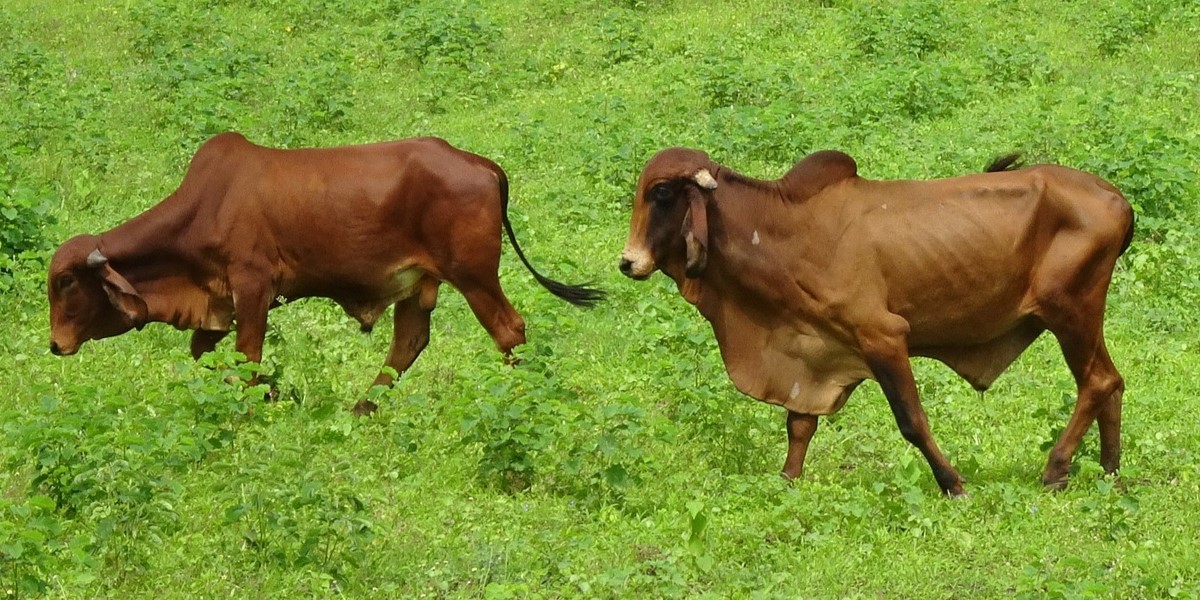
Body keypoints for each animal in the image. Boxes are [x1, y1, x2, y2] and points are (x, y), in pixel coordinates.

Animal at [49, 132, 604, 414]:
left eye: (67, 282)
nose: (55, 345)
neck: (205, 206)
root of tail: (480, 163)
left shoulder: (253, 288)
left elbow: (247, 358)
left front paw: (263, 403)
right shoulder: (219, 307)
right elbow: (206, 356)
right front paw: (275, 393)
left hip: (475, 276)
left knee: (509, 331)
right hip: (418, 285)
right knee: (408, 344)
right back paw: (361, 409)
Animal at [619, 148, 1133, 496]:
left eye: (661, 193)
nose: (627, 262)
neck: (781, 232)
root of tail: (1116, 198)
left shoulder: (882, 336)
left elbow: (912, 420)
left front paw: (953, 483)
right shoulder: (813, 349)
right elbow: (799, 425)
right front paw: (787, 480)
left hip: (1071, 310)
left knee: (1097, 382)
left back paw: (1057, 469)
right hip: (1081, 316)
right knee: (1111, 382)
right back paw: (1109, 473)